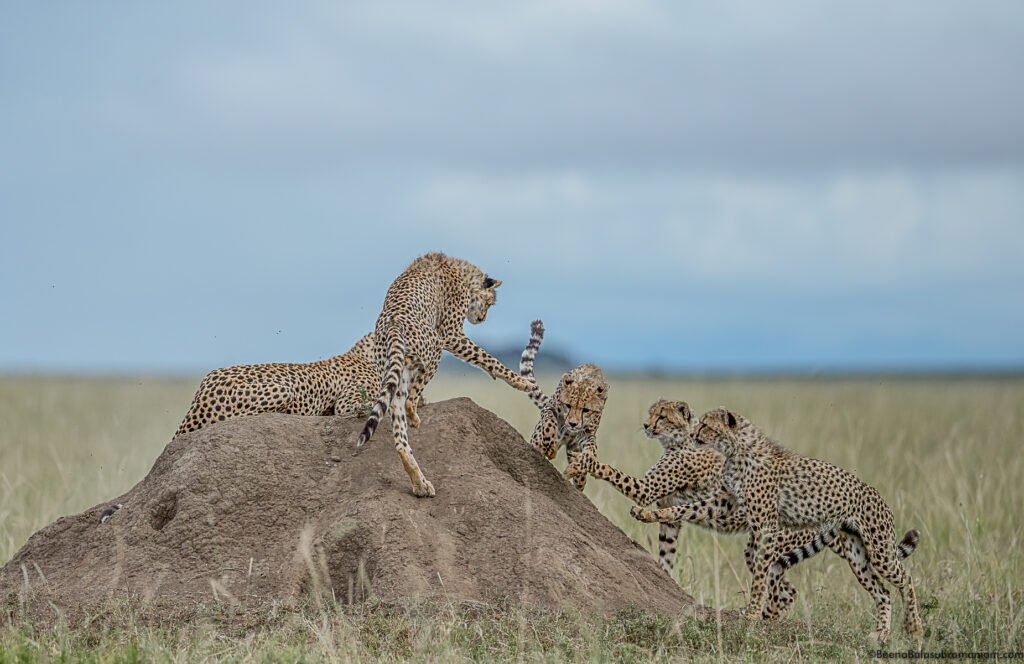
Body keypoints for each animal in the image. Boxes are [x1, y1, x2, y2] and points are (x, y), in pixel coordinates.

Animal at [356, 254, 536, 498]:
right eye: (490, 303)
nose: (482, 318)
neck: (457, 268)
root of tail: (393, 324)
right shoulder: (451, 335)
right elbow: (487, 357)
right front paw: (522, 382)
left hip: (397, 374)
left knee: (400, 437)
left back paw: (421, 485)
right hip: (435, 348)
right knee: (411, 398)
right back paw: (415, 418)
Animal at [520, 319, 606, 489]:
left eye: (586, 410)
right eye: (568, 405)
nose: (572, 424)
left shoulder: (587, 433)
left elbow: (591, 448)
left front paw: (582, 461)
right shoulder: (549, 408)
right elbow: (549, 424)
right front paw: (551, 446)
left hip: (574, 453)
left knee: (579, 482)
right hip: (536, 441)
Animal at [569, 399, 921, 623]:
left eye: (663, 416)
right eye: (651, 413)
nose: (645, 425)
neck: (681, 441)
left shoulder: (647, 488)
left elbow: (613, 472)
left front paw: (582, 462)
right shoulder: (672, 514)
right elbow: (667, 549)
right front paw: (662, 579)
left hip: (769, 543)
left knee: (781, 588)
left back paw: (763, 618)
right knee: (786, 587)